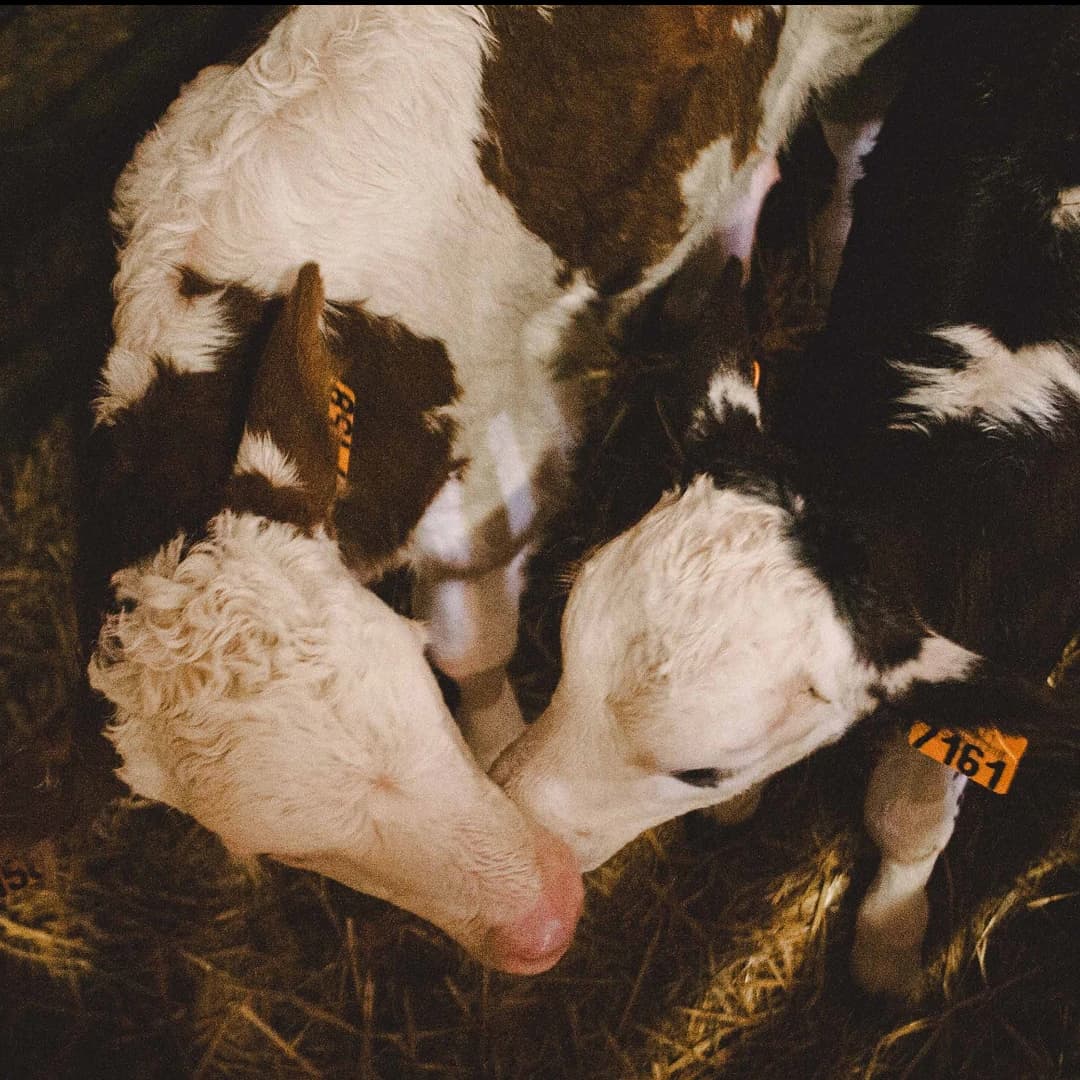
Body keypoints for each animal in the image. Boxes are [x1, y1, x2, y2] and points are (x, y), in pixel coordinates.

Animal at [79, 6, 914, 966]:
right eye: (291, 849)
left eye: (411, 687)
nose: (542, 921)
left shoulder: (490, 482)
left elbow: (471, 650)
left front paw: (502, 746)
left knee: (853, 142)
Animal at [492, 5, 1080, 996]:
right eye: (565, 649)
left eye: (702, 769)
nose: (512, 834)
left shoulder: (1012, 635)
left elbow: (911, 811)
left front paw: (888, 942)